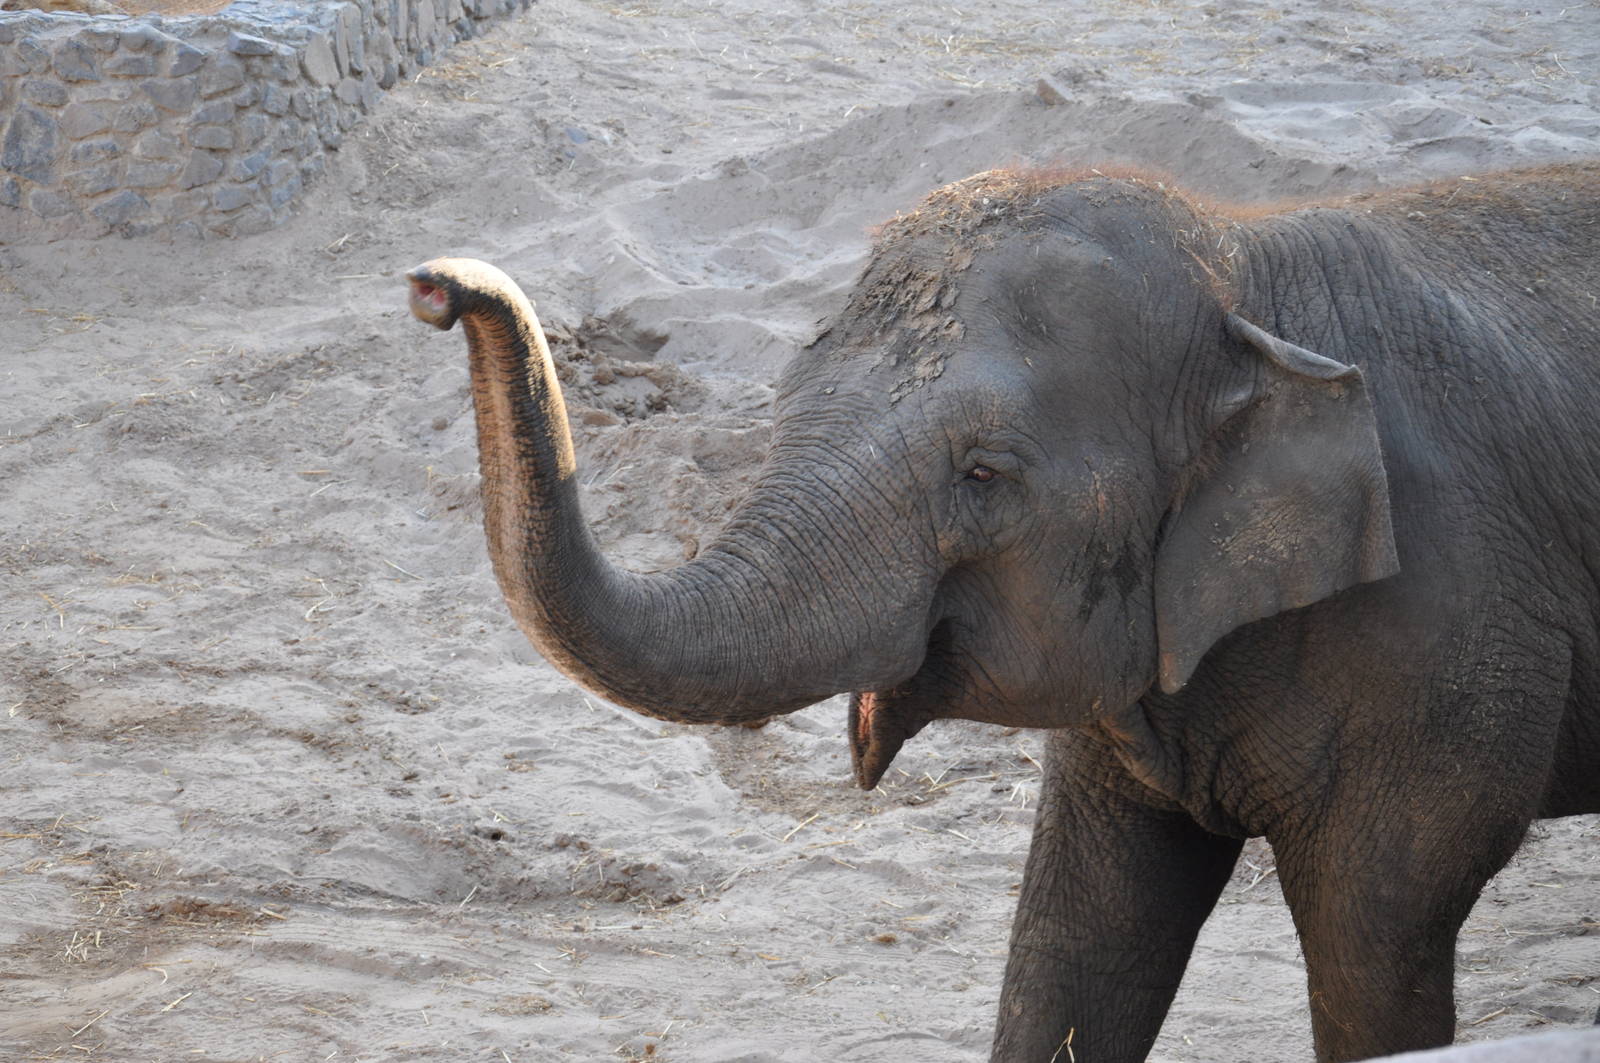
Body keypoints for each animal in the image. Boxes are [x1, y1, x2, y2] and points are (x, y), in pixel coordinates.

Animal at [405, 161, 1600, 1062]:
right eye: (787, 399)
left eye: (983, 474)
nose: (432, 285)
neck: (1248, 265)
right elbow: (1081, 928)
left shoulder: (1452, 638)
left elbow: (1376, 934)